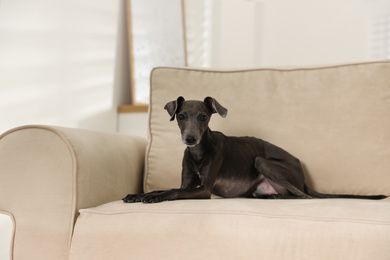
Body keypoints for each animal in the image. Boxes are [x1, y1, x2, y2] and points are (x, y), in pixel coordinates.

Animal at [122, 96, 386, 203]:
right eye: (181, 116)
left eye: (203, 117)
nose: (190, 139)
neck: (199, 153)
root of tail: (303, 177)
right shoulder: (188, 182)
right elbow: (167, 187)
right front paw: (138, 194)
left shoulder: (203, 189)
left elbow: (172, 191)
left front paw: (153, 197)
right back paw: (272, 196)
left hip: (262, 161)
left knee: (304, 196)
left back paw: (280, 197)